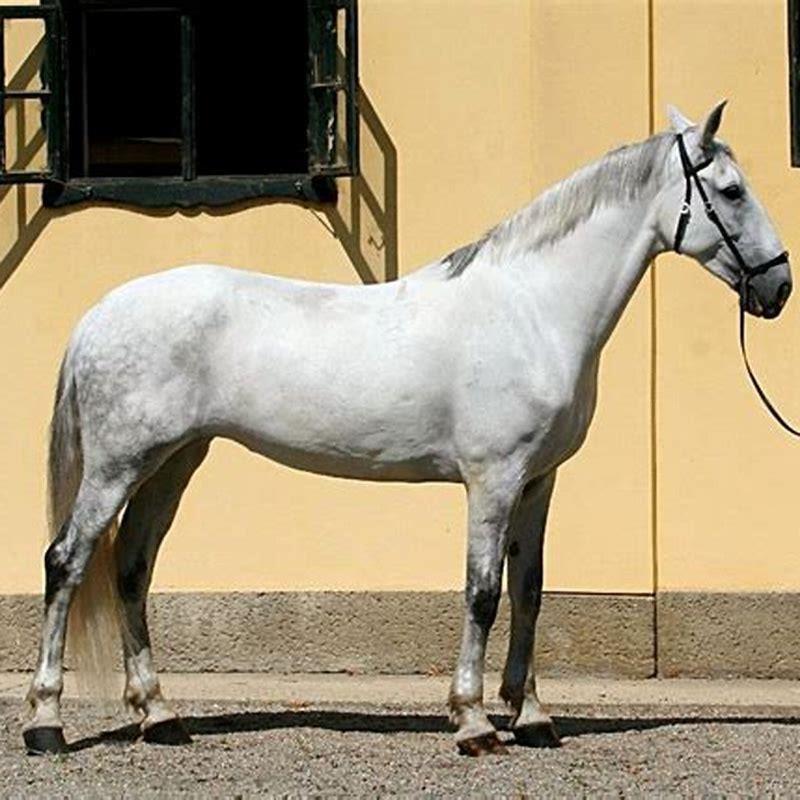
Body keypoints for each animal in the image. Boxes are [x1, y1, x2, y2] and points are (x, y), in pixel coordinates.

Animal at [23, 102, 792, 756]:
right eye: (730, 191)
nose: (779, 287)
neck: (532, 309)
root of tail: (100, 313)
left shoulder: (539, 480)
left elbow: (530, 590)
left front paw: (532, 717)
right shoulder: (493, 478)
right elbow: (483, 592)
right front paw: (474, 721)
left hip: (174, 460)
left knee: (131, 568)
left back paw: (159, 716)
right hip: (119, 464)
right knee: (67, 562)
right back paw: (46, 724)